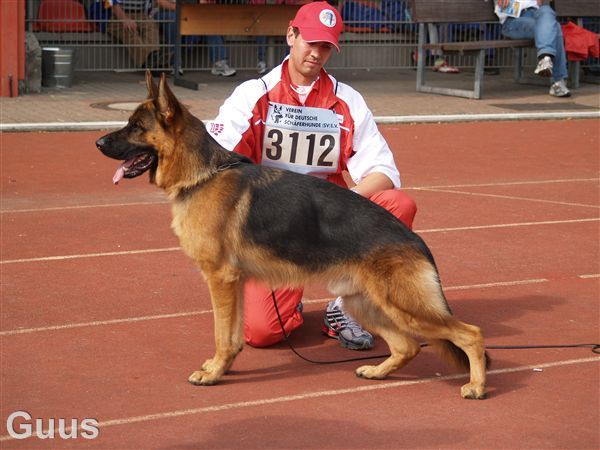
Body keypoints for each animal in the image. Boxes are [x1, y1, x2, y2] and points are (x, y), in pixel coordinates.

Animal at [95, 72, 488, 400]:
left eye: (135, 127)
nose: (97, 142)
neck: (203, 174)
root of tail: (415, 240)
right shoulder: (234, 283)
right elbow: (233, 336)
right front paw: (221, 368)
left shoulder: (220, 279)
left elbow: (221, 334)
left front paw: (214, 373)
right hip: (368, 304)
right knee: (407, 346)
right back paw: (378, 372)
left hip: (404, 307)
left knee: (471, 334)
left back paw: (476, 387)